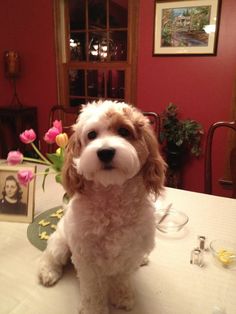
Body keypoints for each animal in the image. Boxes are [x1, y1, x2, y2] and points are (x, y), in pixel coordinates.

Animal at [38, 100, 166, 314]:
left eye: (124, 131)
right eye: (91, 135)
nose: (105, 152)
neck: (111, 197)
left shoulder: (129, 253)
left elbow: (122, 279)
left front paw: (122, 296)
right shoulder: (86, 257)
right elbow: (93, 290)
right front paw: (94, 309)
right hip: (61, 244)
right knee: (49, 257)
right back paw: (48, 272)